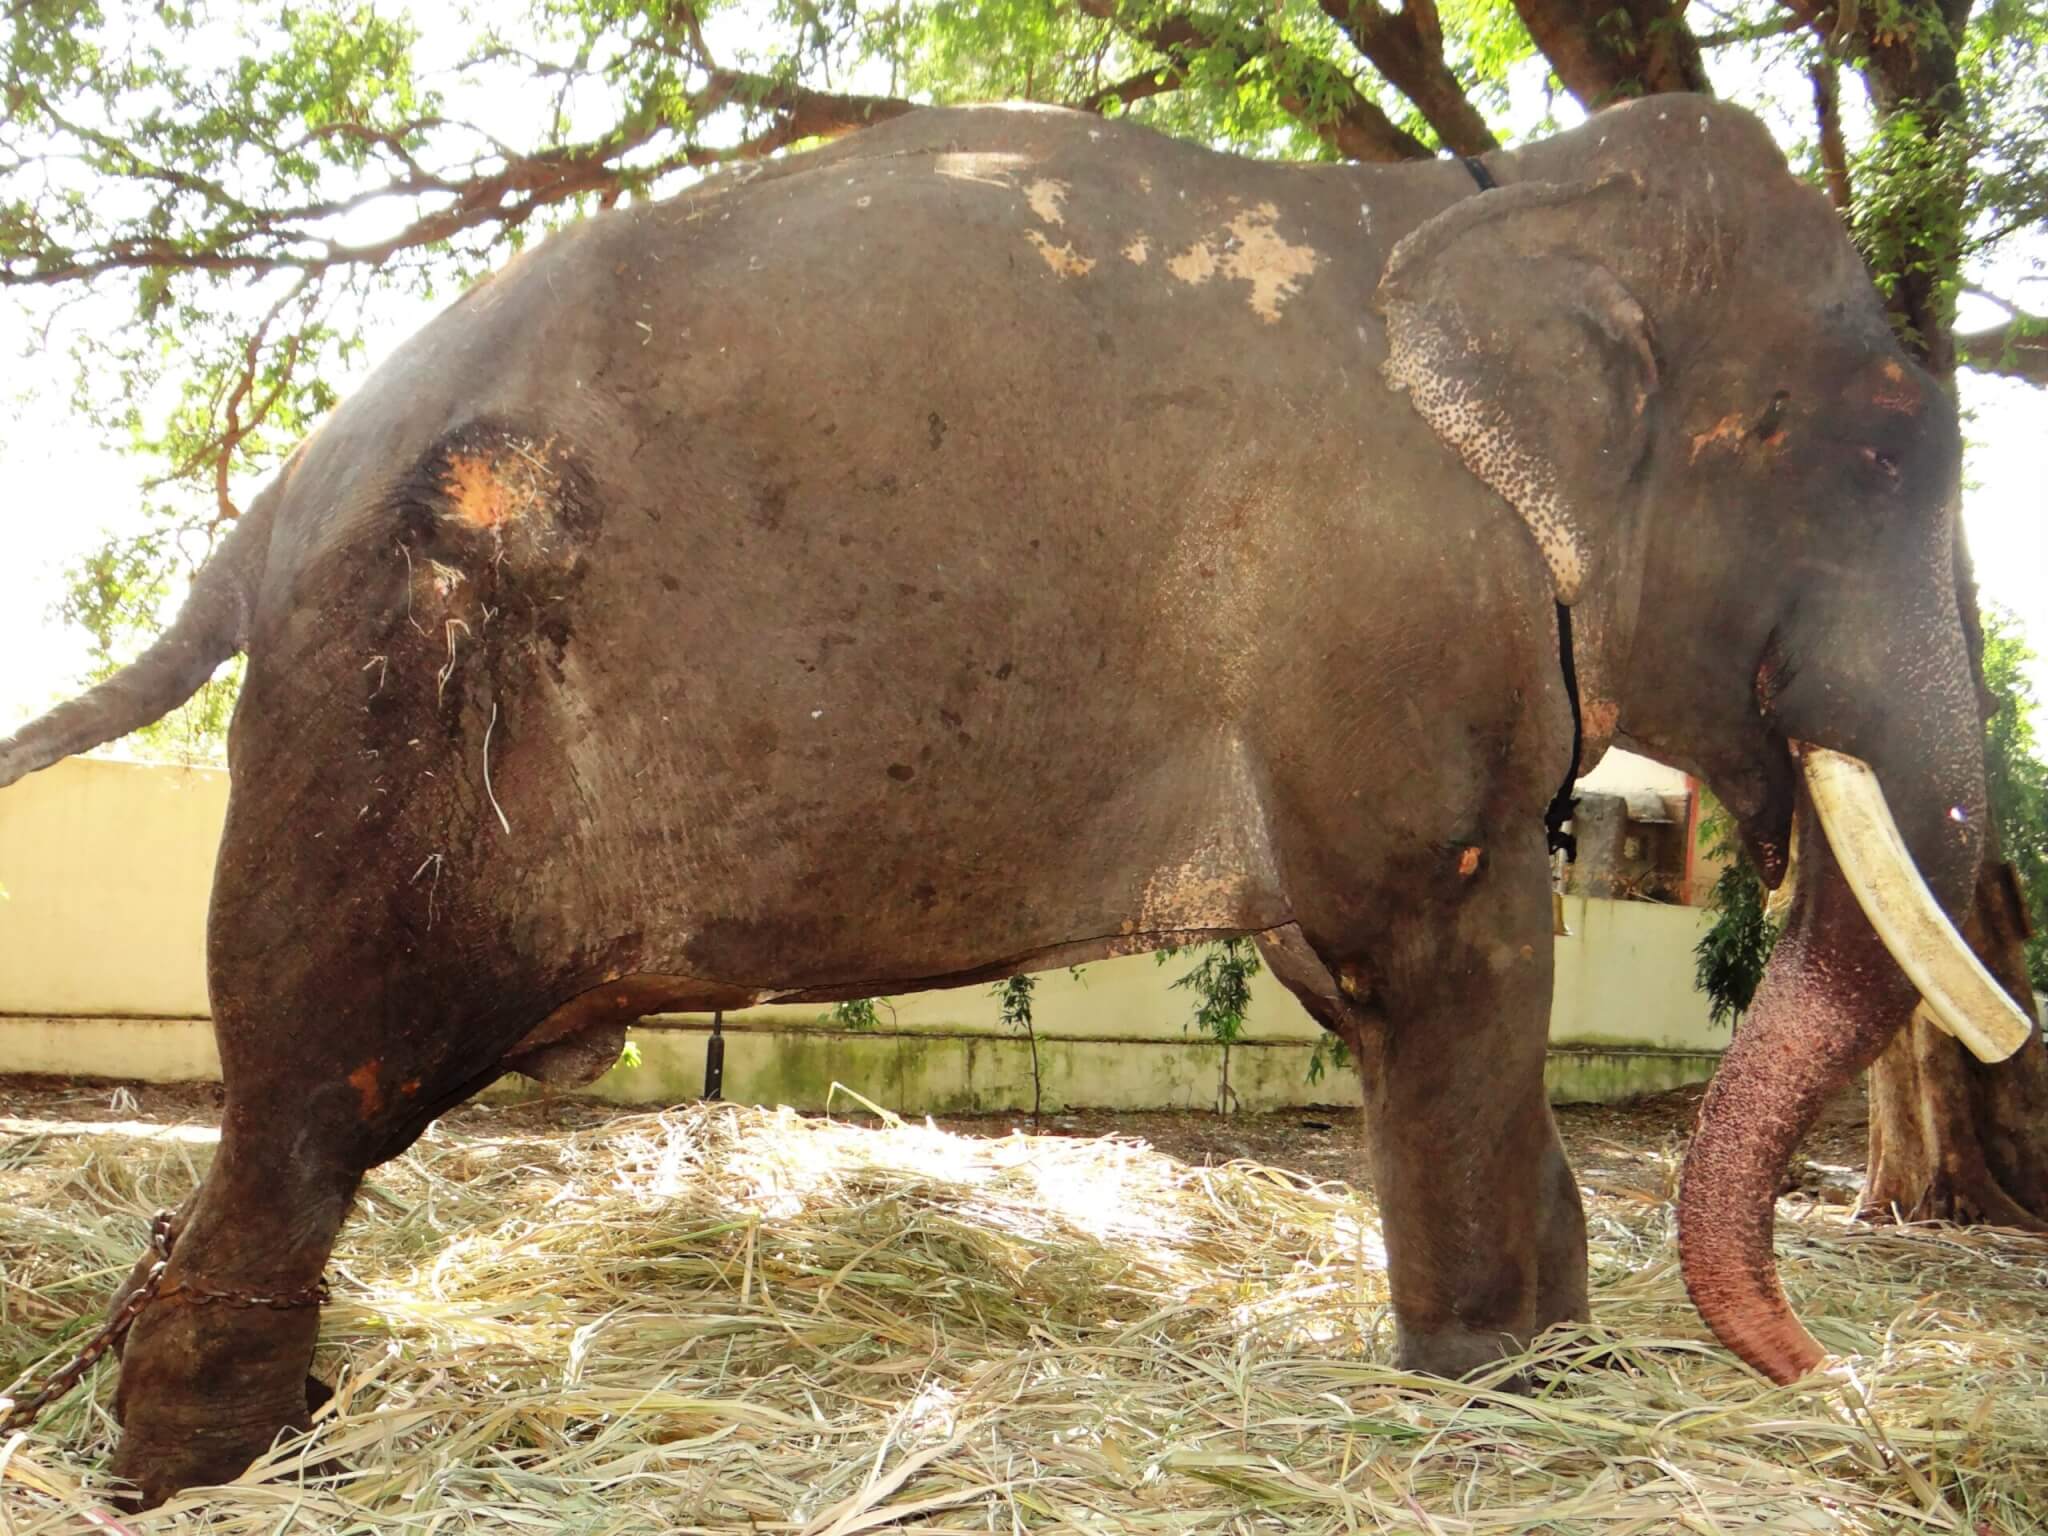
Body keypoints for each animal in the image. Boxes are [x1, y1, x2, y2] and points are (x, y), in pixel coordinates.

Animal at [0, 93, 2031, 1507]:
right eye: (1865, 452)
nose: (1808, 1375)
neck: (1498, 193)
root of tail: (265, 510)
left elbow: (1359, 981)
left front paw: (1562, 1377)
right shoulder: (1391, 615)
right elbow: (1439, 946)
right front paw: (1492, 1397)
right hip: (376, 732)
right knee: (302, 1114)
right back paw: (228, 1473)